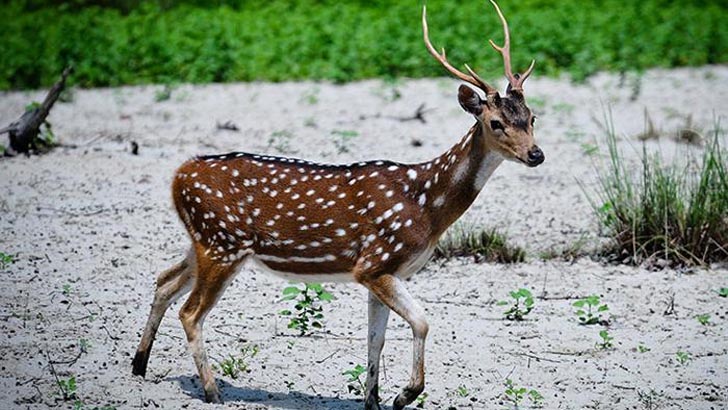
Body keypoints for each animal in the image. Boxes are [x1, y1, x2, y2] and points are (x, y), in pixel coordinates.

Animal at [129, 1, 540, 408]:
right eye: (495, 122)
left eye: (532, 117)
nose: (536, 154)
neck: (426, 207)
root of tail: (179, 174)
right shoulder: (374, 262)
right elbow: (422, 321)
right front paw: (405, 395)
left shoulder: (386, 272)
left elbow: (375, 339)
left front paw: (374, 400)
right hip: (223, 243)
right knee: (190, 312)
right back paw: (213, 391)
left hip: (204, 240)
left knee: (164, 281)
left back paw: (139, 366)